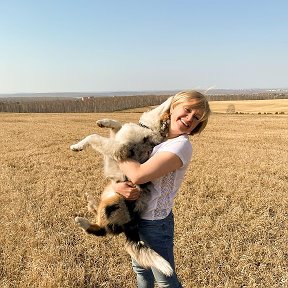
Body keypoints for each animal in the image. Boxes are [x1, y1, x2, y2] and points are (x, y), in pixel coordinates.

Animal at [70, 97, 173, 276]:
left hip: (113, 204)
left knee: (100, 230)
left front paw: (77, 146)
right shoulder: (117, 139)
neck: (149, 130)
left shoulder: (119, 148)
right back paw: (90, 201)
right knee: (97, 213)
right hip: (108, 193)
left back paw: (82, 221)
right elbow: (116, 125)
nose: (174, 98)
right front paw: (103, 122)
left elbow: (93, 136)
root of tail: (132, 226)